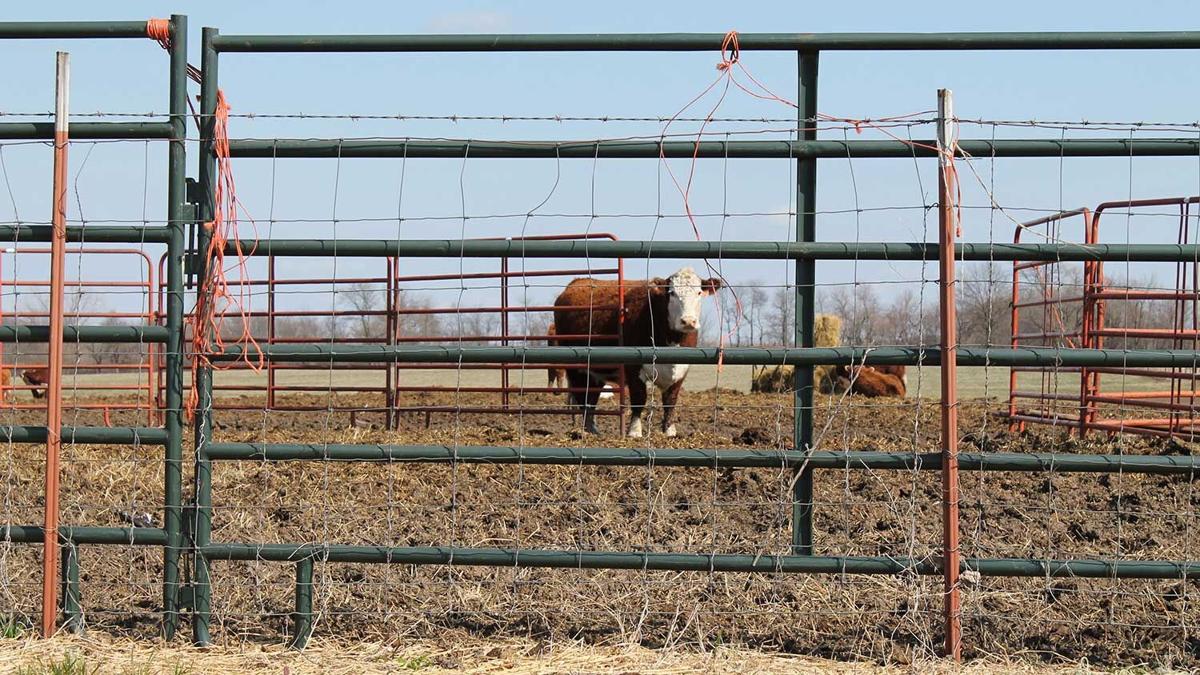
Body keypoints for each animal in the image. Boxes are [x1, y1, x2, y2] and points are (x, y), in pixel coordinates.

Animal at [552, 267, 721, 437]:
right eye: (672, 293)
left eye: (699, 292)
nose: (688, 321)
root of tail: (576, 282)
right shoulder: (633, 367)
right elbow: (639, 398)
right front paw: (634, 431)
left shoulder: (681, 370)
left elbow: (670, 400)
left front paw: (669, 430)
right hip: (576, 369)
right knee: (583, 399)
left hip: (596, 373)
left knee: (591, 399)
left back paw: (592, 429)